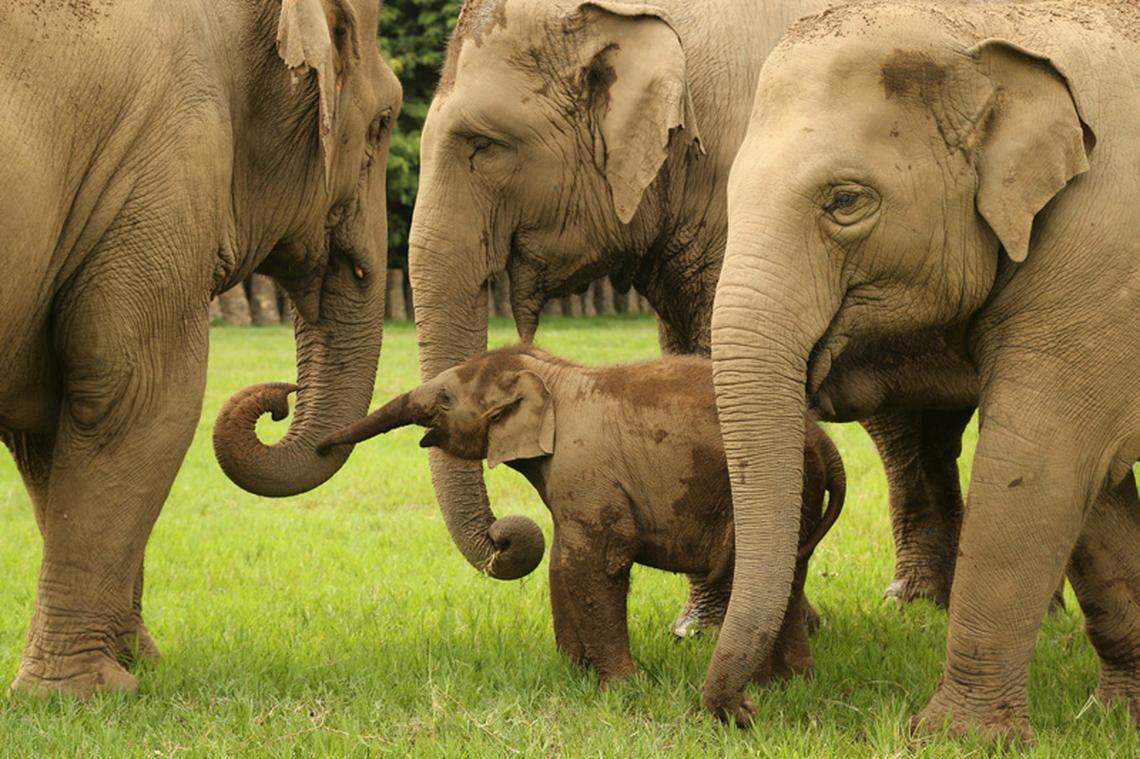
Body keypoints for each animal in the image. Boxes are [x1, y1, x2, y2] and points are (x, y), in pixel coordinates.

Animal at [0, 0, 401, 696]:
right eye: (383, 123)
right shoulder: (163, 165)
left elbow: (52, 427)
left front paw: (135, 666)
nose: (280, 398)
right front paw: (83, 693)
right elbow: (137, 394)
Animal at [319, 345, 845, 685]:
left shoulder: (586, 468)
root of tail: (821, 439)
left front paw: (624, 688)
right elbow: (562, 560)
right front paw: (575, 676)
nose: (323, 445)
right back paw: (791, 684)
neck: (550, 373)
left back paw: (764, 686)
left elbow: (598, 562)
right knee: (790, 573)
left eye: (445, 398)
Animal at [409, 0, 981, 637]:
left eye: (483, 145)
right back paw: (918, 603)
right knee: (912, 430)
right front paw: (701, 628)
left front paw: (726, 628)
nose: (508, 537)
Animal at [708, 0, 1140, 739]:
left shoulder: (1102, 253)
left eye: (845, 201)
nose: (747, 710)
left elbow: (1040, 459)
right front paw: (1118, 716)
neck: (982, 29)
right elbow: (1097, 487)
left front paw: (956, 738)